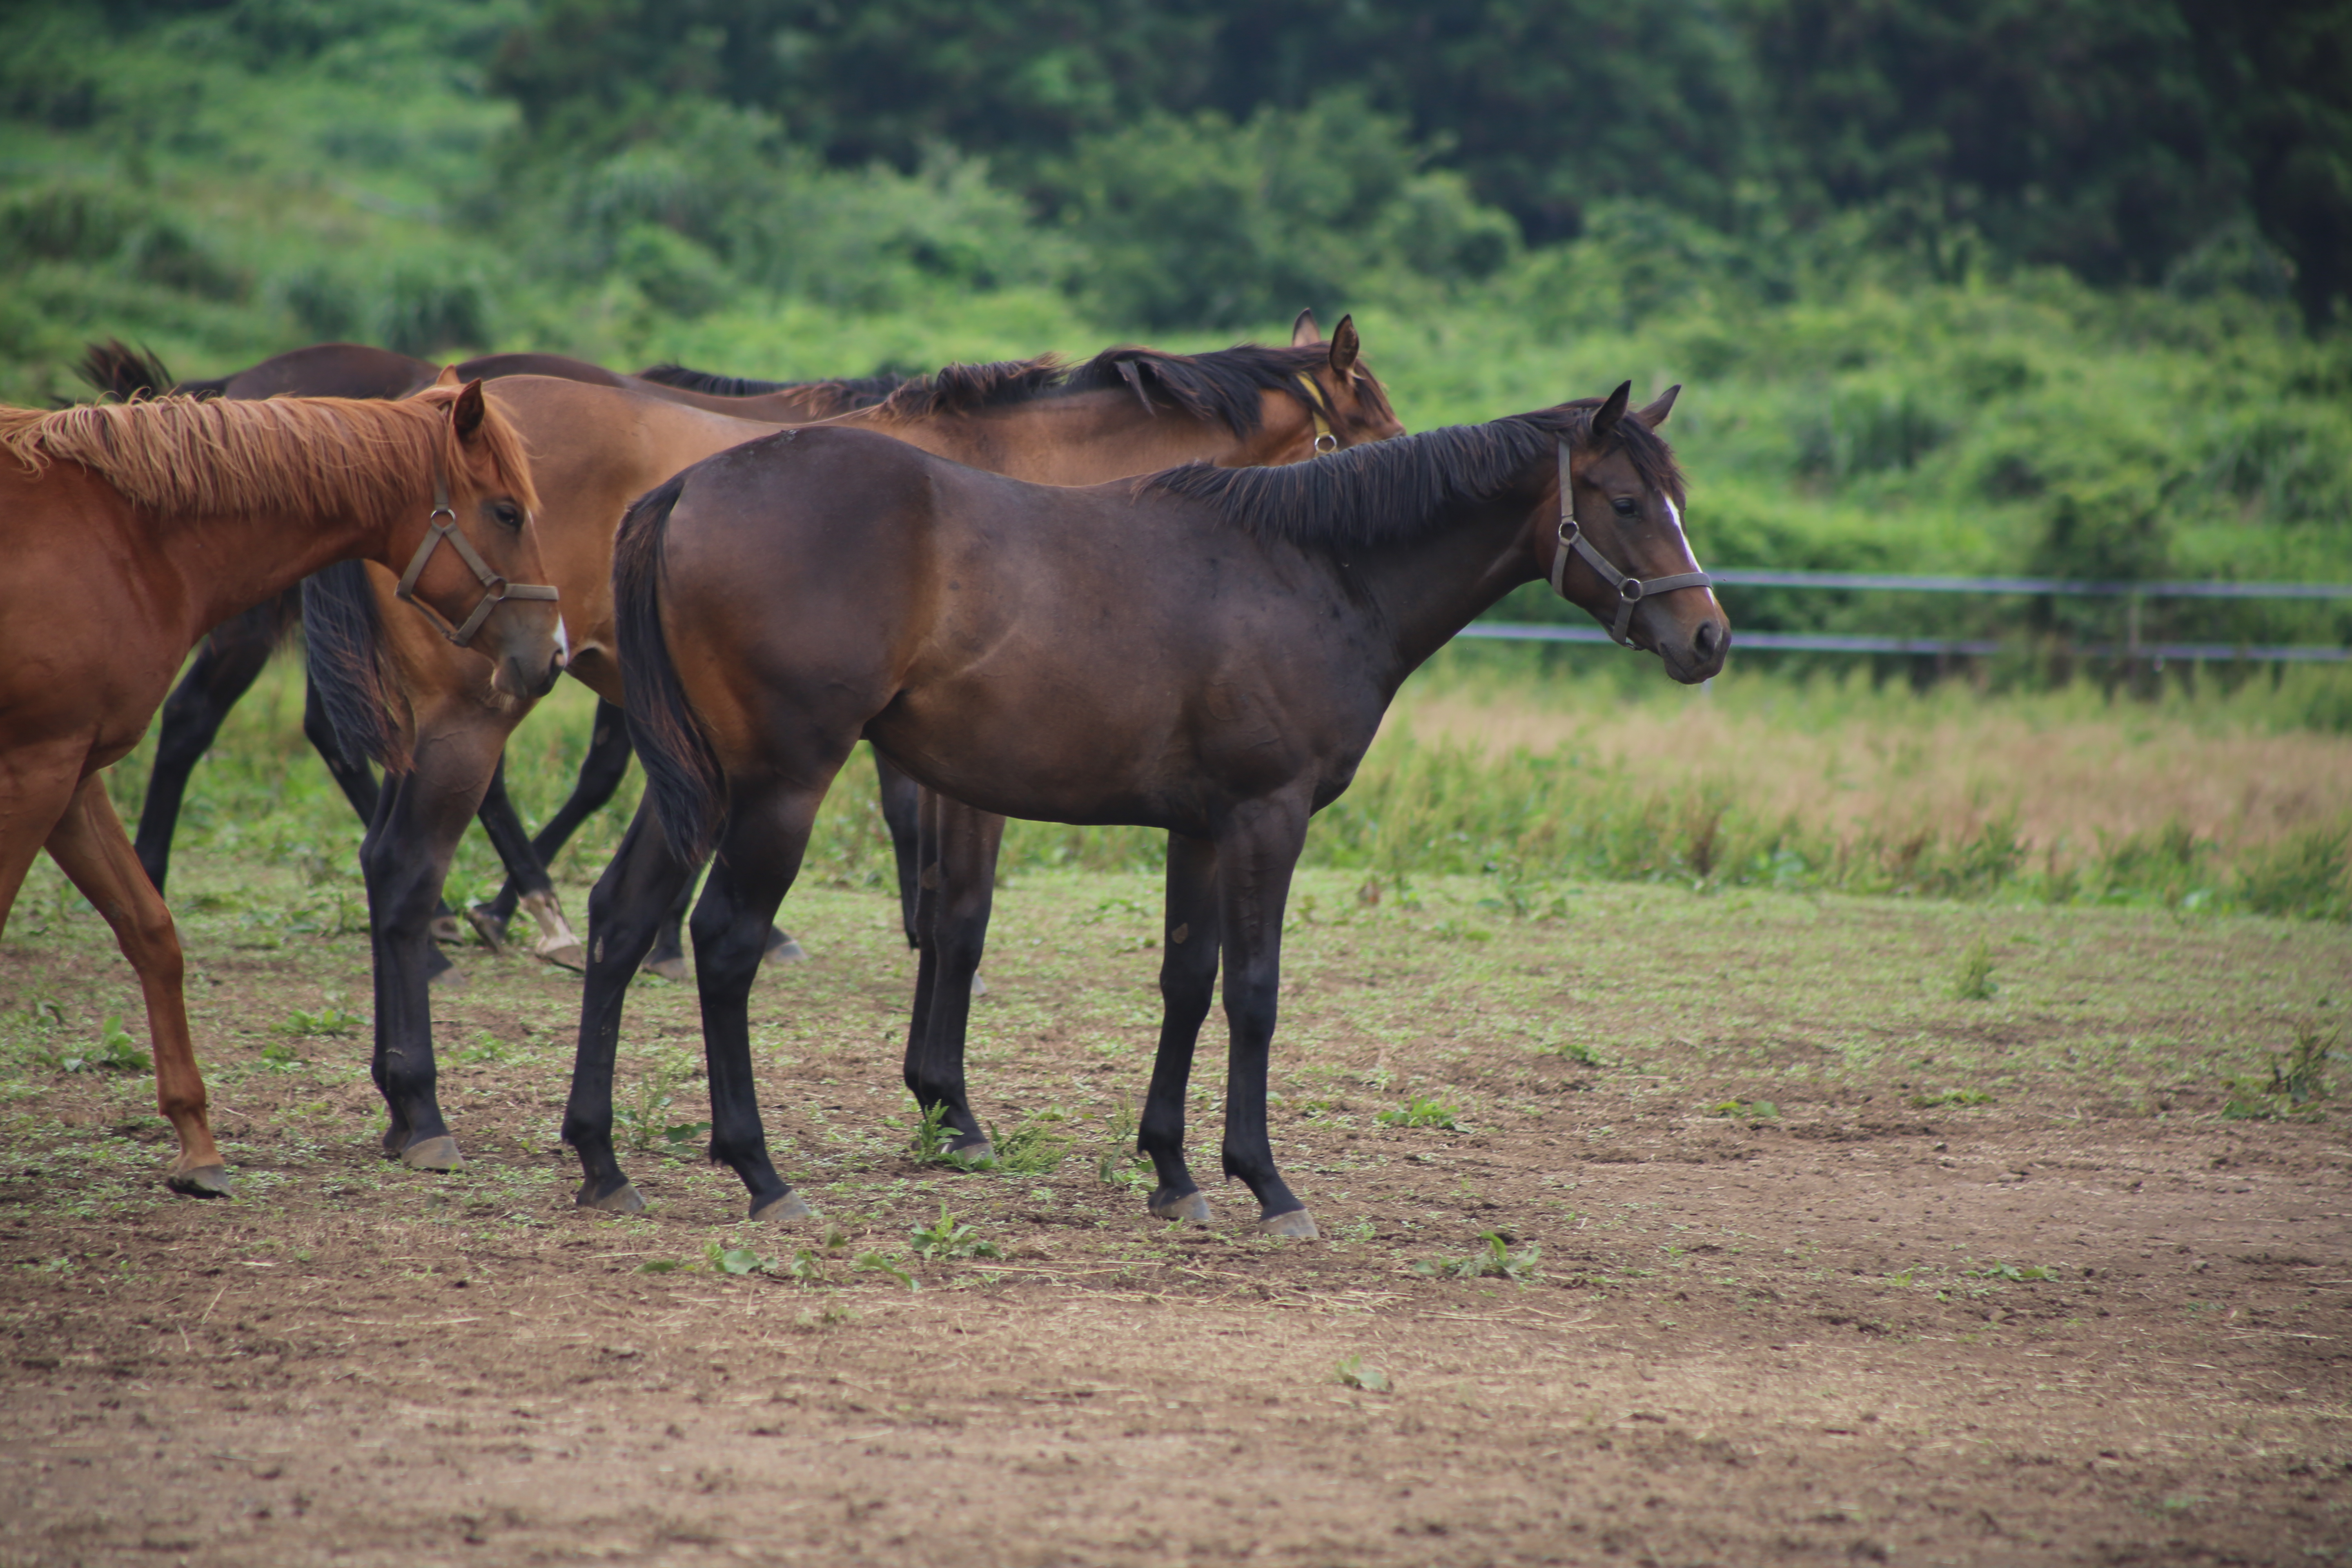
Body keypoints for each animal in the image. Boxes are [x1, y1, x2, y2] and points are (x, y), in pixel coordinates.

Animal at [0, 385, 559, 1194]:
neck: (127, 540)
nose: (552, 653)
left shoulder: (72, 774)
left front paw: (197, 1145)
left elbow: (152, 932)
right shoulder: (36, 767)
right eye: (508, 512)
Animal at [294, 324, 1392, 1175]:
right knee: (407, 872)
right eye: (1369, 431)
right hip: (472, 716)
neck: (1036, 486)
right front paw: (951, 1107)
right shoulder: (968, 776)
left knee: (393, 862)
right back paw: (428, 1094)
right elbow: (960, 918)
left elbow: (938, 909)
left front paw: (933, 1094)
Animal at [597, 383, 1722, 1241]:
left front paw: (1173, 1173)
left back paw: (600, 1160)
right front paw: (1266, 1183)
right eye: (1627, 502)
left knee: (620, 919)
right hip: (780, 785)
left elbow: (1186, 982)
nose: (1707, 637)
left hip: (699, 783)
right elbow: (1254, 993)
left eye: (1675, 498)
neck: (1311, 570)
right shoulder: (1267, 819)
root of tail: (688, 487)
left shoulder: (1200, 828)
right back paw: (760, 1175)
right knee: (723, 943)